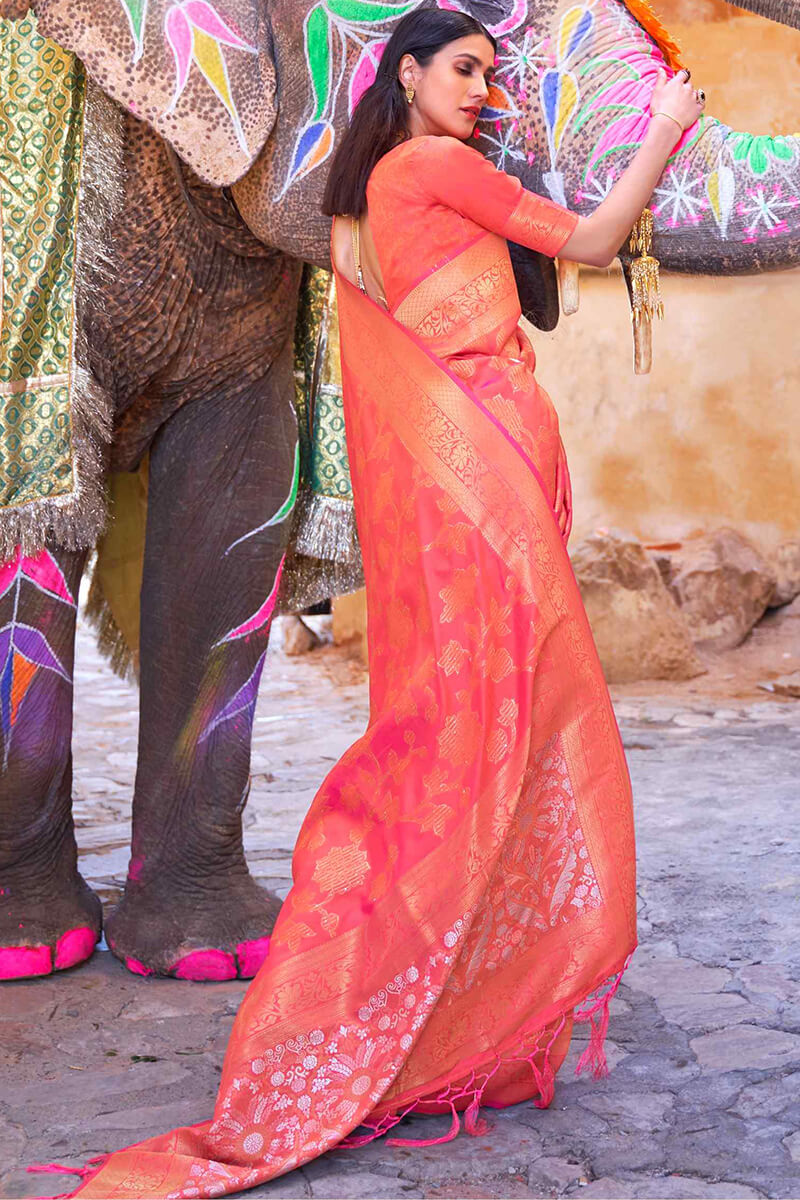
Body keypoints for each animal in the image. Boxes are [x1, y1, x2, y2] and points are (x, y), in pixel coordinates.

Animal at [0, 0, 796, 979]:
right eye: (483, 37)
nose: (689, 86)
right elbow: (35, 512)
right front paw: (39, 951)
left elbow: (238, 497)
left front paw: (218, 957)